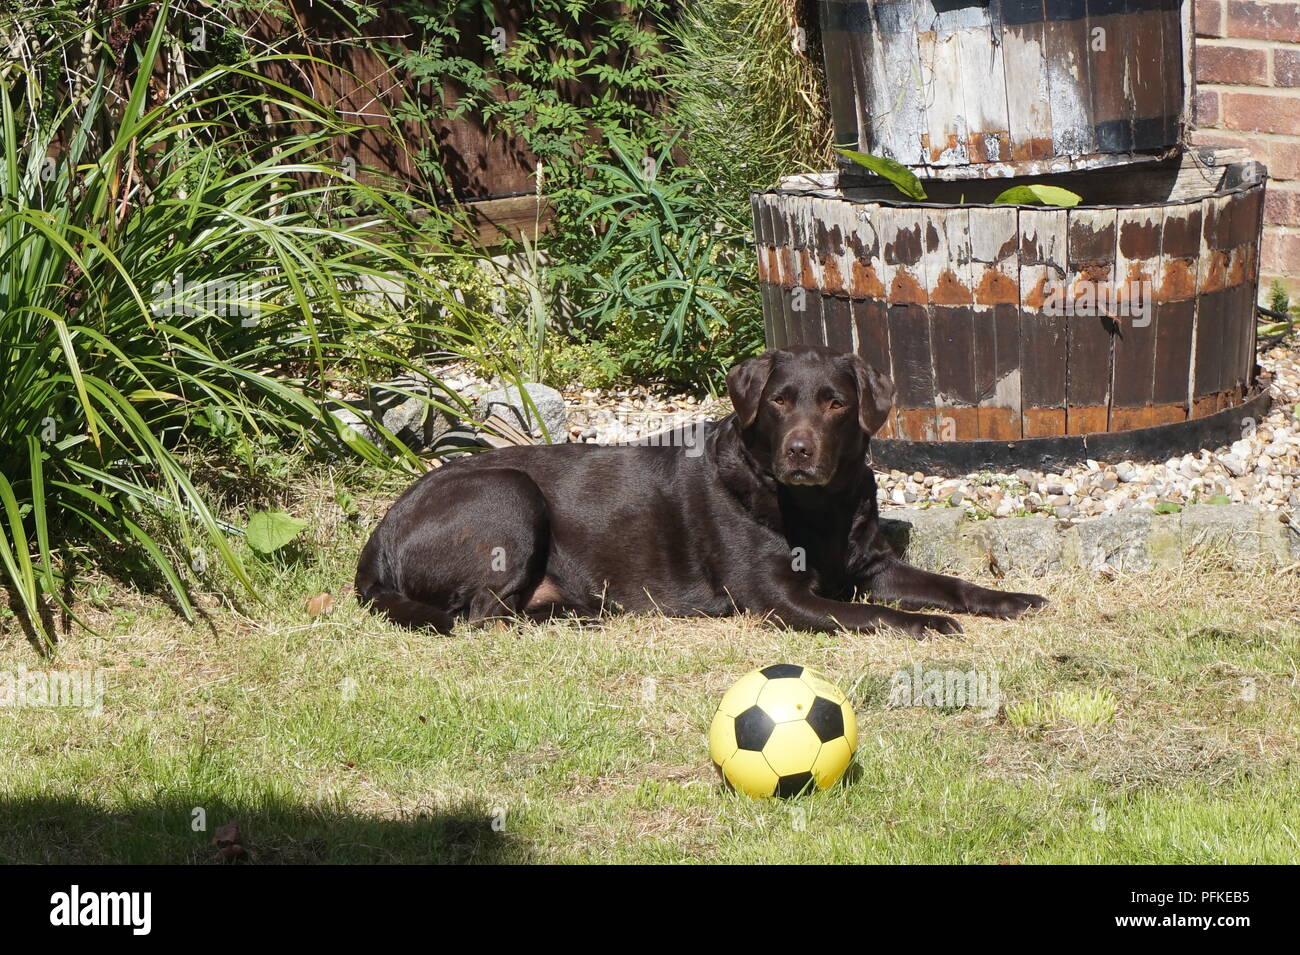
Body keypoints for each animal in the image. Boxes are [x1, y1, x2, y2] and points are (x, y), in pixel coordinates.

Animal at [356, 348, 1045, 639]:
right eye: (779, 401)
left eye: (835, 404)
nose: (800, 452)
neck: (814, 507)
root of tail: (378, 538)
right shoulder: (778, 599)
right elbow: (873, 615)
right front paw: (926, 624)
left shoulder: (872, 566)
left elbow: (951, 584)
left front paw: (1008, 600)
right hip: (510, 494)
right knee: (480, 616)